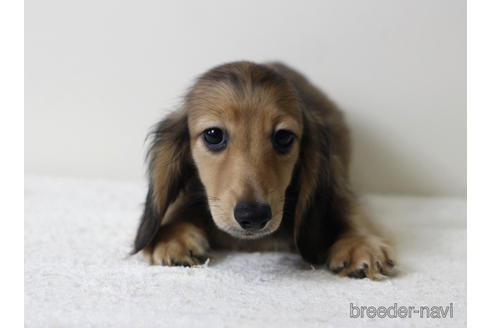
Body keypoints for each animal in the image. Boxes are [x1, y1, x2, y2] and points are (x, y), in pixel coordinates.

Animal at [133, 60, 394, 280]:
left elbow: (351, 210)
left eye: (283, 137)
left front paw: (359, 244)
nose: (253, 216)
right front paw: (171, 236)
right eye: (213, 135)